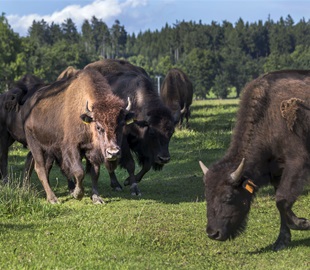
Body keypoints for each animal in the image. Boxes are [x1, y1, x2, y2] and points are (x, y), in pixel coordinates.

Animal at [21, 68, 133, 204]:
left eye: (121, 125)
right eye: (98, 127)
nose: (113, 152)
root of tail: (27, 105)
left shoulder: (92, 152)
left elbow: (95, 172)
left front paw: (96, 198)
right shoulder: (72, 148)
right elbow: (79, 171)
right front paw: (77, 194)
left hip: (47, 148)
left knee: (36, 163)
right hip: (34, 143)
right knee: (40, 167)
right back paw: (52, 198)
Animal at [85, 59, 176, 195]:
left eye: (171, 132)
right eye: (152, 132)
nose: (164, 158)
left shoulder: (145, 148)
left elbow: (147, 165)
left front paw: (128, 181)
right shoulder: (123, 142)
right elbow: (130, 164)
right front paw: (133, 187)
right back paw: (116, 185)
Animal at [200, 69, 308, 251]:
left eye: (228, 196)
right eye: (206, 195)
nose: (213, 233)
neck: (268, 116)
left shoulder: (297, 162)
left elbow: (282, 199)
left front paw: (303, 223)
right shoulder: (276, 172)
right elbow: (280, 203)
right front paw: (281, 241)